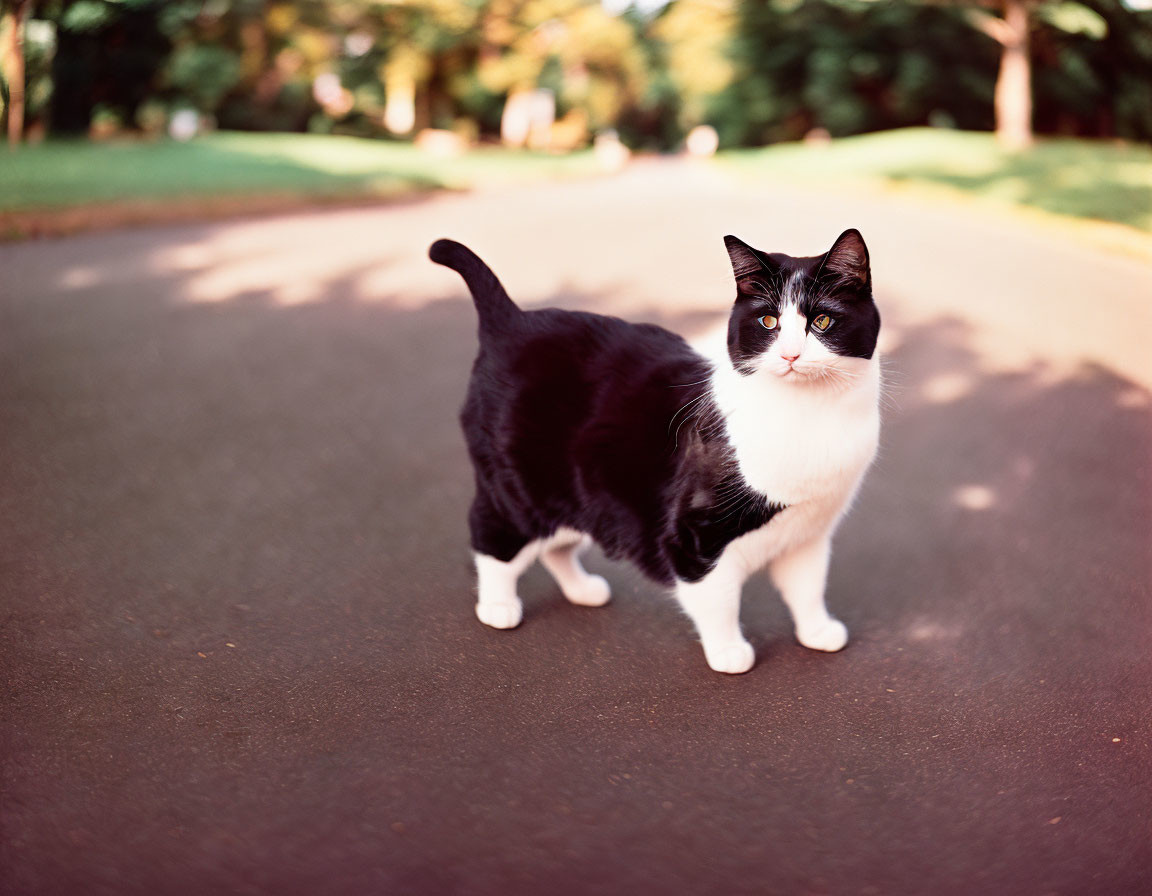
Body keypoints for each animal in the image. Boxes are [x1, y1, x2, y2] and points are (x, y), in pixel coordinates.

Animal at [428, 230, 875, 672]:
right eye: (769, 321)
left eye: (822, 321)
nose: (791, 354)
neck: (810, 414)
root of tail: (511, 320)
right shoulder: (694, 535)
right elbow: (718, 597)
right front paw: (729, 651)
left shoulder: (809, 533)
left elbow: (808, 588)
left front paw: (817, 631)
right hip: (519, 485)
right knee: (493, 533)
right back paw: (498, 607)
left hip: (577, 492)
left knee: (557, 543)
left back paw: (583, 589)